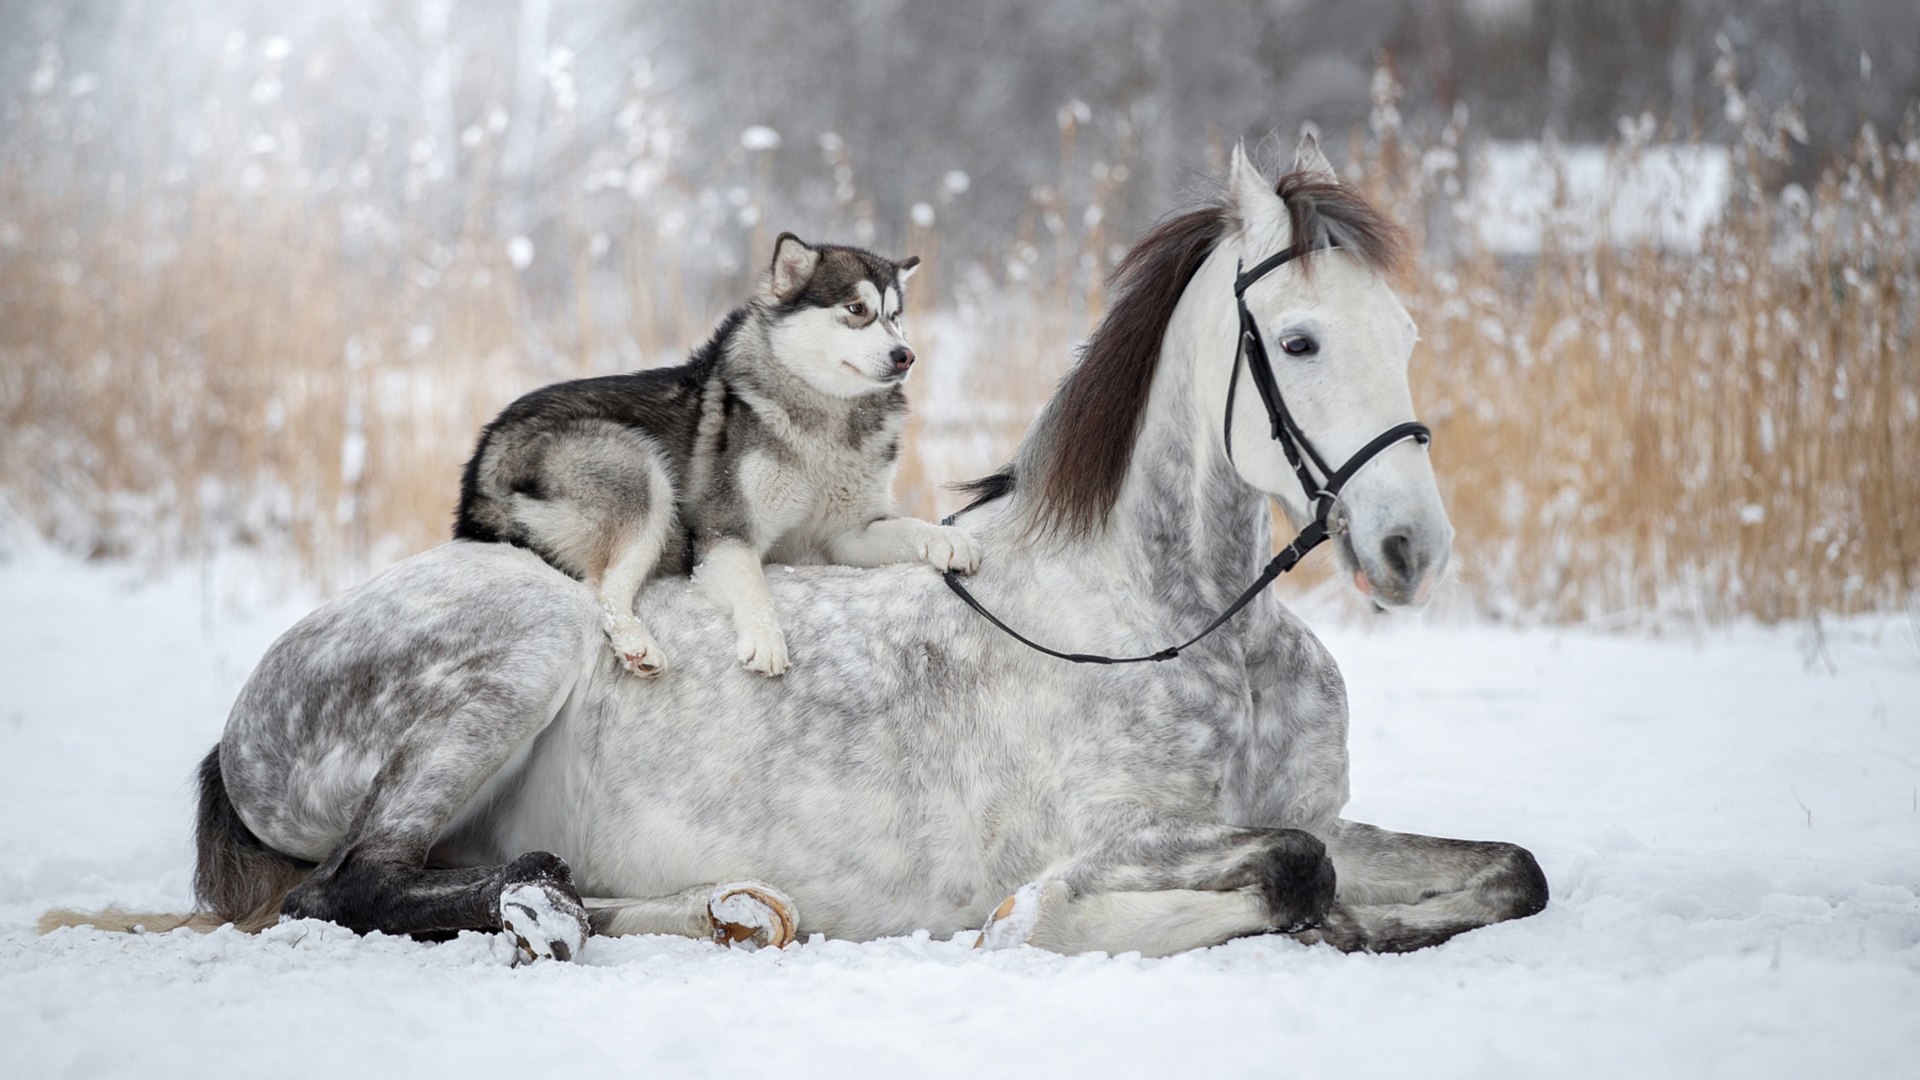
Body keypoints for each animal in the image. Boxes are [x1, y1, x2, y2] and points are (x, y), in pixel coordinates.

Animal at [455, 233, 983, 672]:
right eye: (855, 309)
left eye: (895, 317)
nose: (905, 355)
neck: (824, 416)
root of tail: (484, 462)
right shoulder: (724, 532)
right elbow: (753, 582)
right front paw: (766, 639)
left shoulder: (847, 535)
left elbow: (905, 526)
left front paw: (946, 538)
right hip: (640, 471)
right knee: (603, 589)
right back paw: (637, 645)